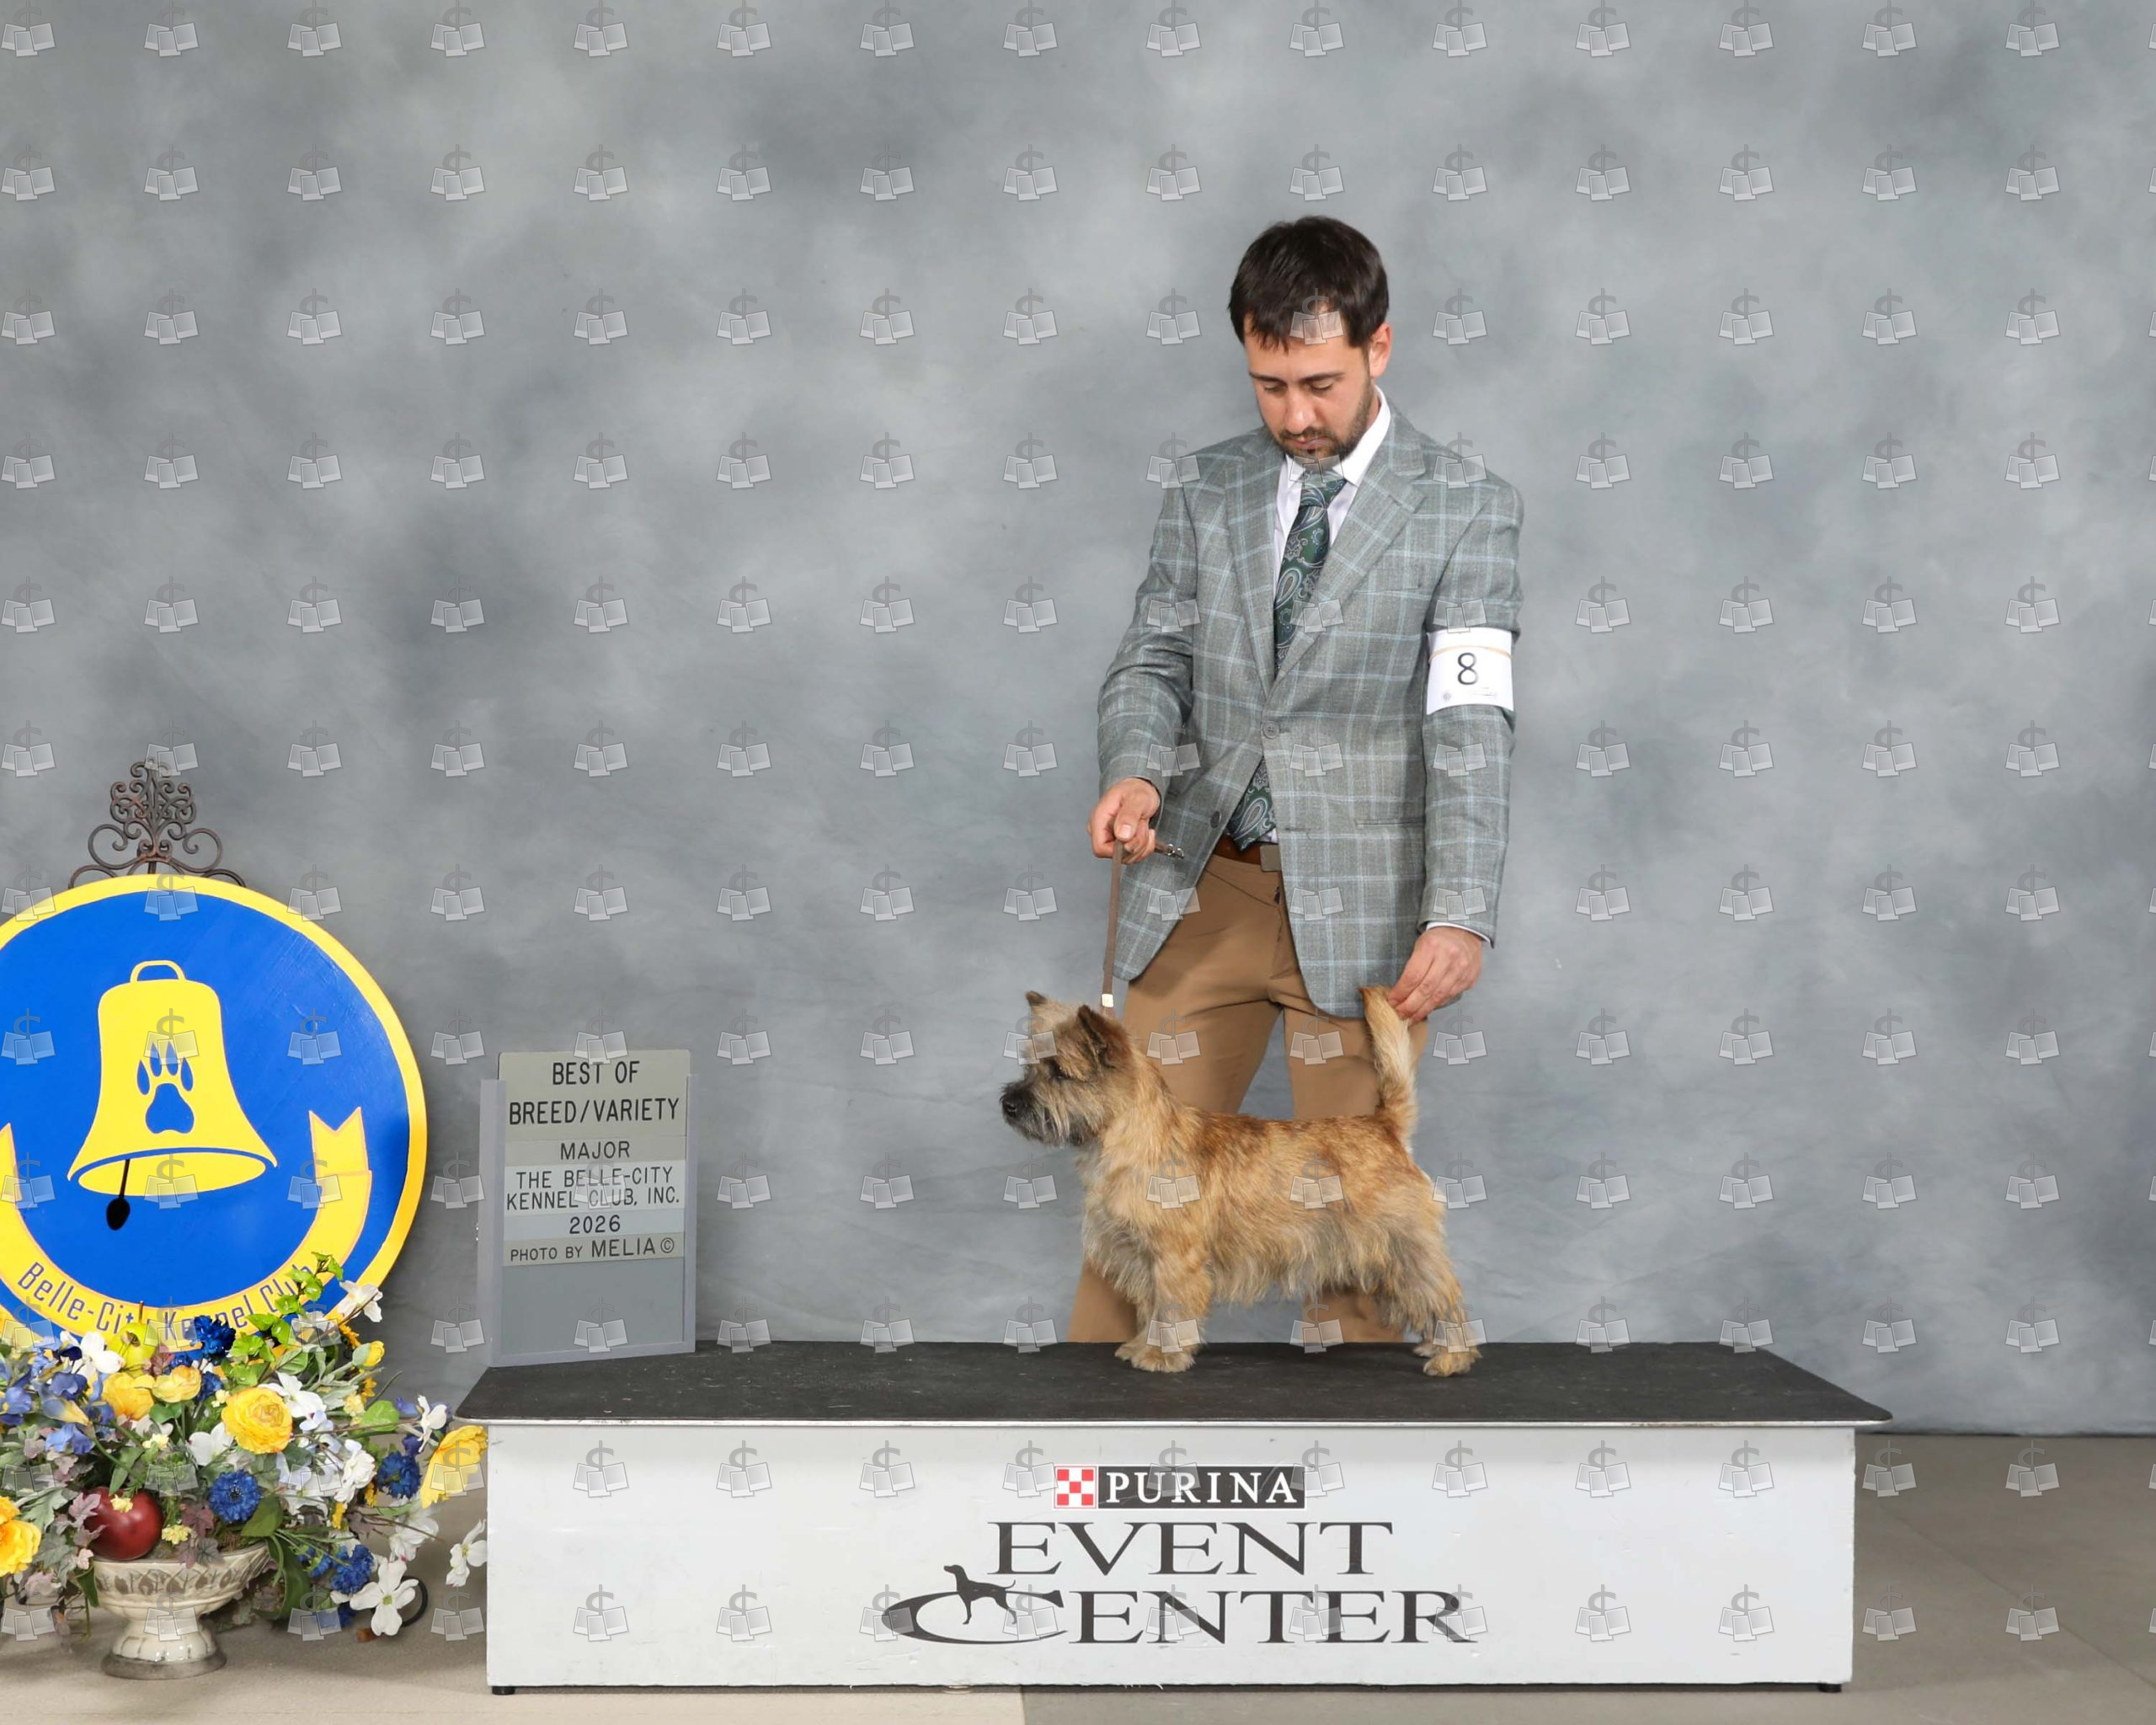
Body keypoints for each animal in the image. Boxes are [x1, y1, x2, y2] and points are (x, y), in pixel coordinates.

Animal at [1000, 983, 1477, 1377]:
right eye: (1030, 1067)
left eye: (1059, 1072)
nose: (1009, 1103)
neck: (1127, 1138)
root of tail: (1384, 1125)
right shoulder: (1140, 1255)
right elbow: (1150, 1305)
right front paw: (1141, 1346)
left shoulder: (1174, 1257)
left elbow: (1170, 1306)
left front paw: (1164, 1357)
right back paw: (1433, 1347)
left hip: (1405, 1245)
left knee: (1443, 1295)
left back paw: (1451, 1357)